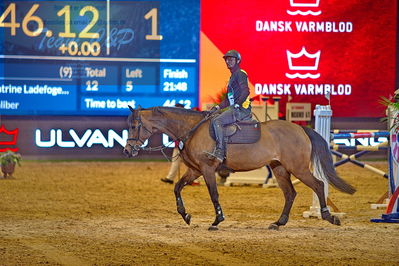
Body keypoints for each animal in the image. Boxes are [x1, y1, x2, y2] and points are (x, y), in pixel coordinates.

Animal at [124, 105, 356, 230]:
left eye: (134, 126)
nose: (127, 151)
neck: (192, 129)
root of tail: (300, 129)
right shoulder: (194, 170)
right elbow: (176, 188)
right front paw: (186, 215)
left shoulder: (207, 169)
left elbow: (214, 194)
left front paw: (217, 220)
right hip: (280, 169)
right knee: (290, 193)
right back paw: (278, 222)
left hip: (298, 168)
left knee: (317, 185)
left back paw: (328, 216)